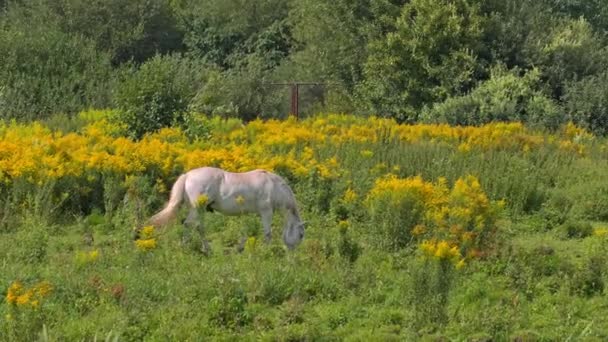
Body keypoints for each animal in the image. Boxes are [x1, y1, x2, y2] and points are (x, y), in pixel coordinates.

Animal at [135, 167, 306, 252]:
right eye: (301, 235)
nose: (293, 254)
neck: (273, 186)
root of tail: (187, 176)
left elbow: (247, 232)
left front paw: (240, 247)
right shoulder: (266, 212)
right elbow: (267, 233)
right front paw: (268, 251)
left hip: (200, 210)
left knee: (199, 227)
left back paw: (206, 248)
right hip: (197, 209)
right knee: (189, 225)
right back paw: (187, 247)